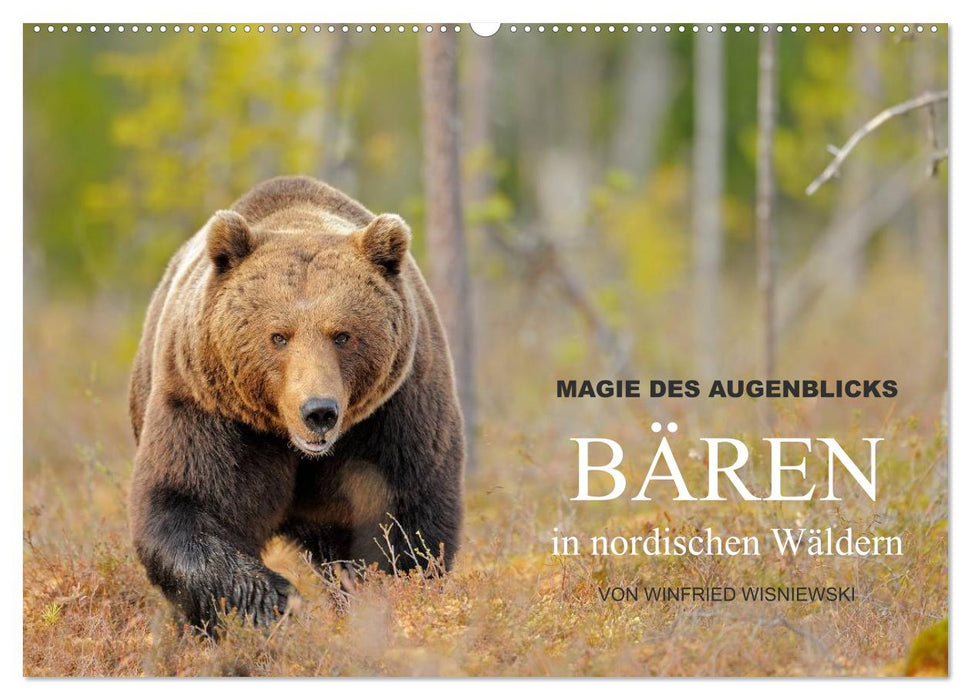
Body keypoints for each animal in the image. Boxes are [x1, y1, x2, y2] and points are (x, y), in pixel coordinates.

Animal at [128, 175, 465, 631]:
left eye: (343, 335)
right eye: (278, 336)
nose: (318, 411)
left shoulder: (395, 413)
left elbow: (406, 524)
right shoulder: (210, 409)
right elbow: (185, 502)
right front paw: (276, 603)